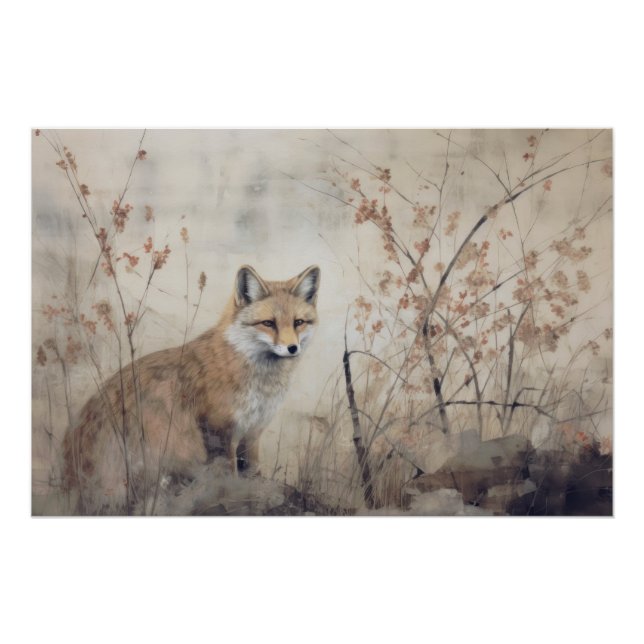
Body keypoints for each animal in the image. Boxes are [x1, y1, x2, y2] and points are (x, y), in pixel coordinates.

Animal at [62, 264, 321, 514]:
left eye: (298, 322)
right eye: (268, 323)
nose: (292, 348)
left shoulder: (252, 432)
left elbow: (253, 471)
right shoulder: (219, 432)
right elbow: (230, 479)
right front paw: (236, 502)